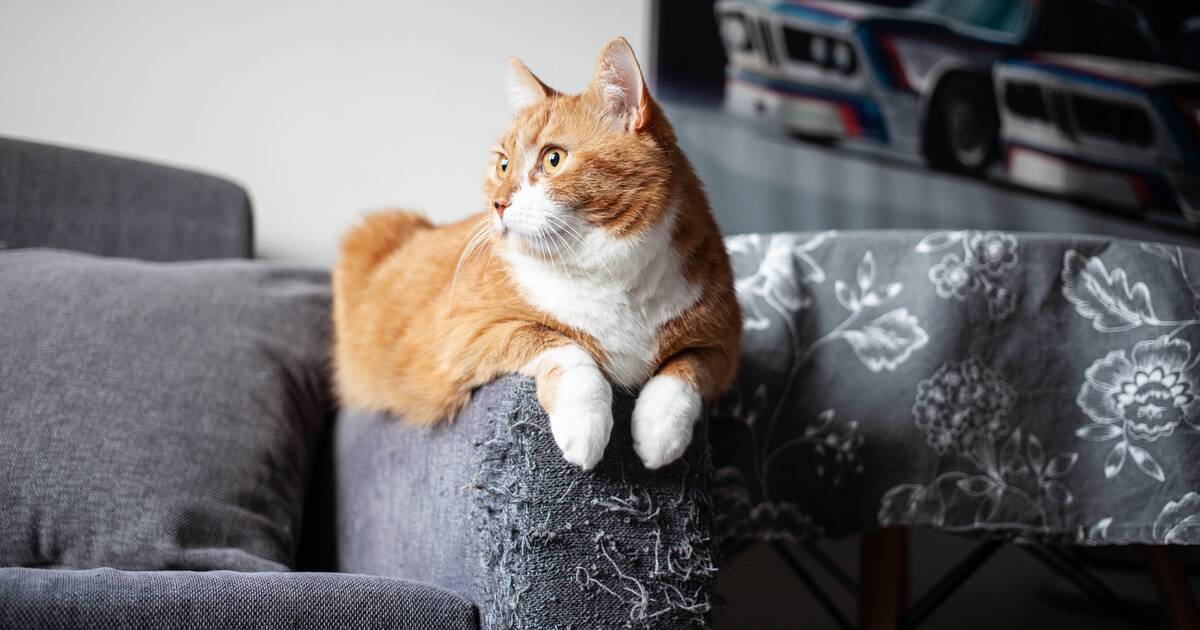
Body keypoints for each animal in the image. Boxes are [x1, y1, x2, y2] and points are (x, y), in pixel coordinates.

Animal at [331, 36, 739, 468]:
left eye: (553, 158)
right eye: (503, 165)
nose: (497, 203)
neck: (611, 275)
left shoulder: (725, 349)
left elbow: (687, 367)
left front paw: (660, 431)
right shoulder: (467, 330)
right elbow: (559, 343)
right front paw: (586, 423)